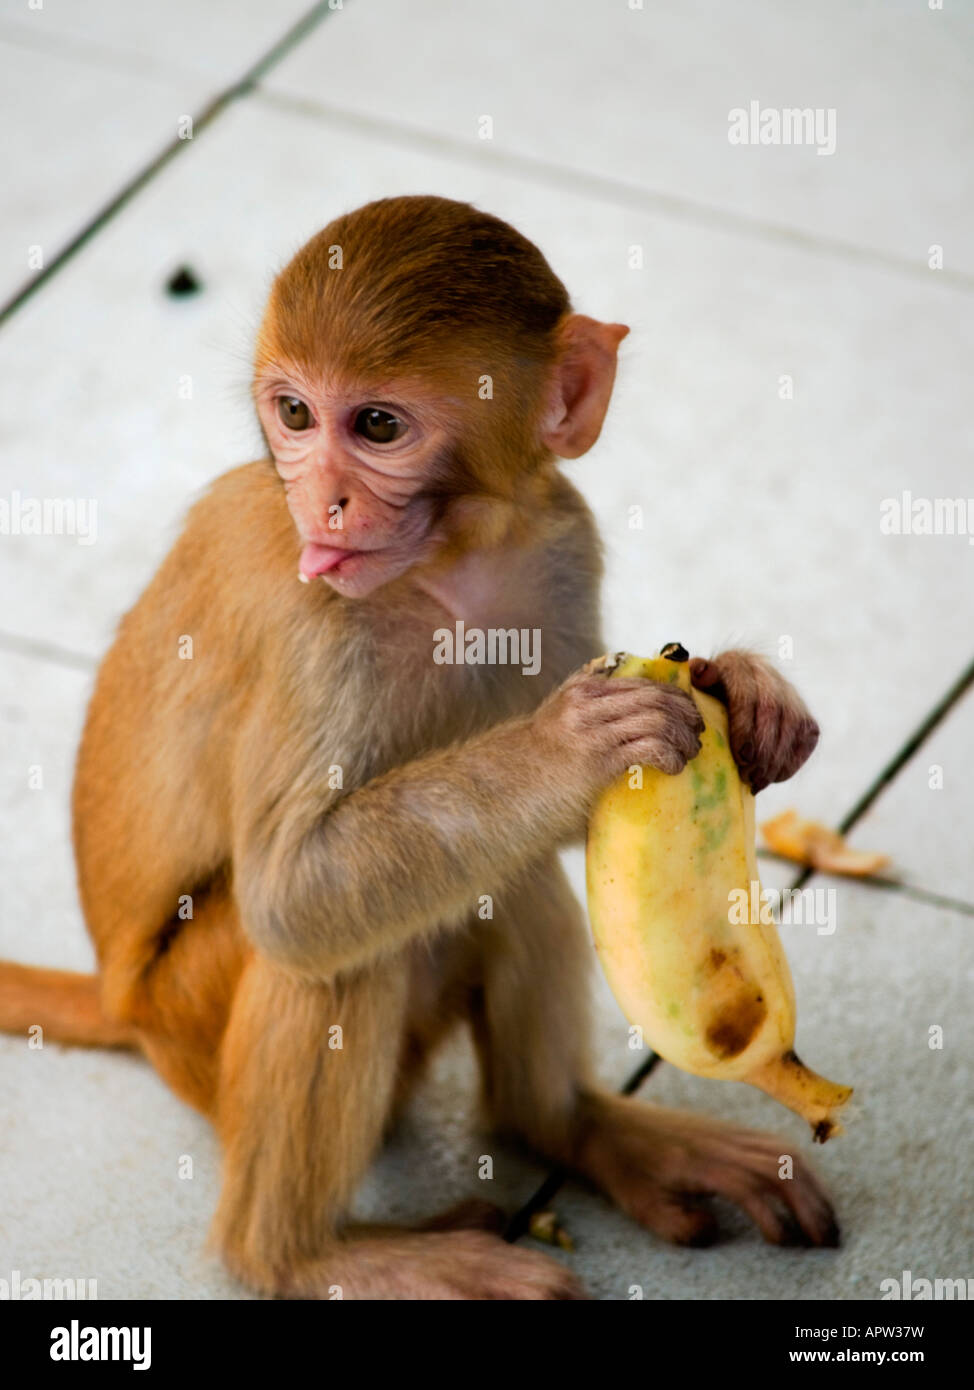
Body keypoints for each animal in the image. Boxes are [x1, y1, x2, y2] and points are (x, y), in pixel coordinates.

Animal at [0, 195, 831, 1299]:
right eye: (294, 414)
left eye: (379, 426)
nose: (324, 501)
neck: (446, 565)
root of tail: (119, 998)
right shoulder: (311, 625)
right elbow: (291, 897)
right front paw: (567, 748)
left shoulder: (561, 541)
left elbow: (560, 834)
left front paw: (743, 681)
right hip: (189, 1023)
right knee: (340, 957)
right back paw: (308, 1256)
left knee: (500, 876)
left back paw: (572, 1125)